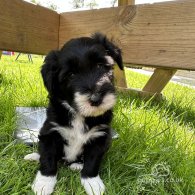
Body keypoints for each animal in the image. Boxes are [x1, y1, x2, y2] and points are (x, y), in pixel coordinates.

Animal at [24, 32, 122, 194]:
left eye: (100, 66)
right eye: (71, 75)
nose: (96, 98)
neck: (79, 114)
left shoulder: (100, 137)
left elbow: (92, 161)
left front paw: (92, 183)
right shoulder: (50, 132)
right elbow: (48, 158)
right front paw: (44, 183)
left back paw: (77, 164)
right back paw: (34, 156)